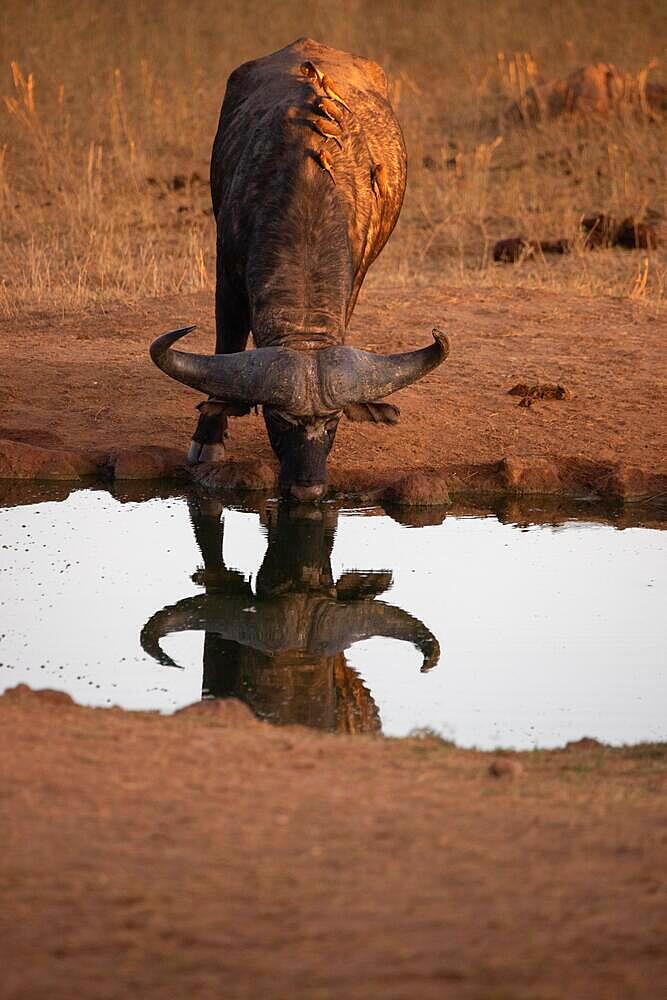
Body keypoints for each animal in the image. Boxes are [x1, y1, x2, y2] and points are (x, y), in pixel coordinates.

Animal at [151, 39, 452, 500]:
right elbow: (226, 347)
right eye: (279, 418)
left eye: (333, 421)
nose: (308, 488)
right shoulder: (227, 276)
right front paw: (208, 438)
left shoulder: (355, 276)